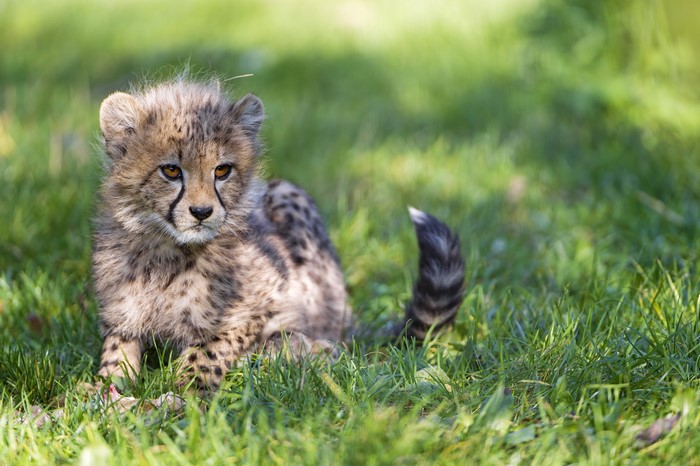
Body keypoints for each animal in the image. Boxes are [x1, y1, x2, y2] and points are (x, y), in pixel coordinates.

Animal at [93, 78, 466, 392]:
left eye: (222, 170)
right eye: (171, 170)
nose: (201, 212)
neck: (168, 252)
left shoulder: (271, 297)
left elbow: (214, 344)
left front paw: (189, 387)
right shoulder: (122, 314)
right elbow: (116, 352)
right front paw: (105, 393)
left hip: (290, 200)